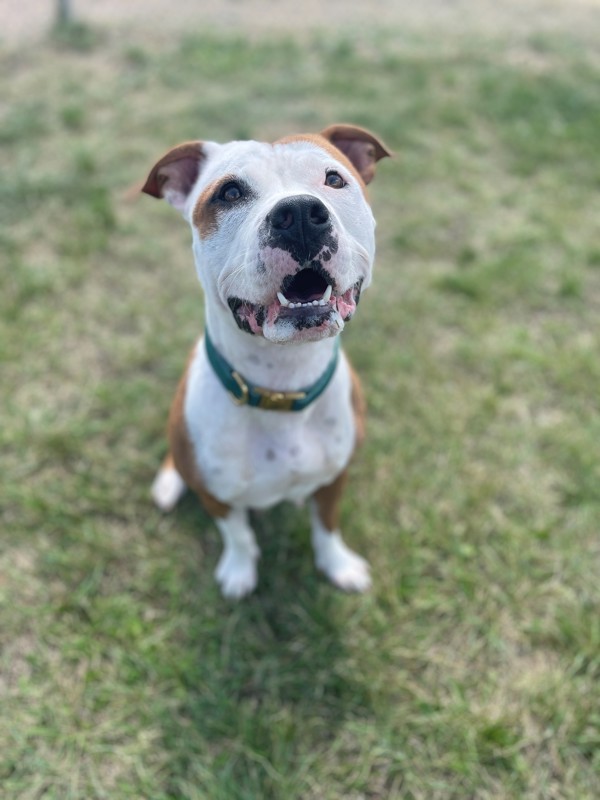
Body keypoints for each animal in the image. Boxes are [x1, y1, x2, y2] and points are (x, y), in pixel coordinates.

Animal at [143, 125, 392, 596]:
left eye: (334, 179)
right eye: (230, 192)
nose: (299, 213)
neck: (282, 383)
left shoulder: (336, 477)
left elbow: (326, 526)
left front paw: (338, 564)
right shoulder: (215, 495)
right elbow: (237, 533)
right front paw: (240, 572)